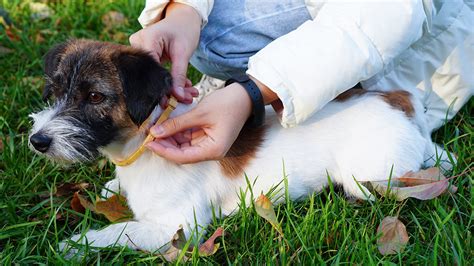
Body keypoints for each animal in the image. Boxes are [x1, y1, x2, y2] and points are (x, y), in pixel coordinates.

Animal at [28, 39, 452, 254]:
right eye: (56, 89)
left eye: (95, 96)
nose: (37, 141)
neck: (141, 142)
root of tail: (401, 101)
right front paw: (111, 188)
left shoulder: (178, 226)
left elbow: (120, 232)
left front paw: (76, 245)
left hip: (368, 176)